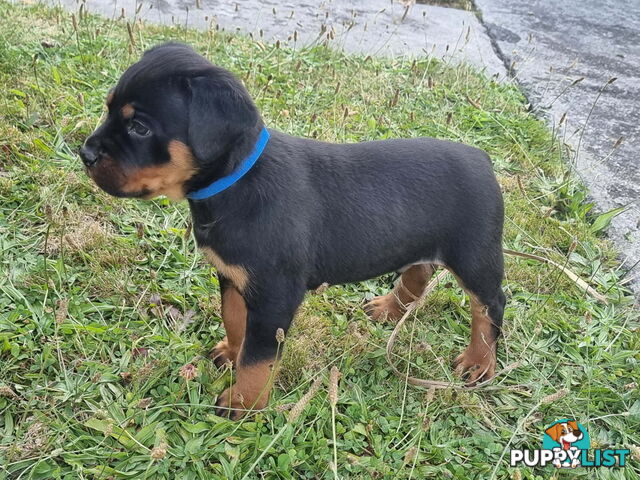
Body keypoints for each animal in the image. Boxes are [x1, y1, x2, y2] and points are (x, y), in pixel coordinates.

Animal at [80, 43, 504, 418]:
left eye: (139, 127)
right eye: (108, 108)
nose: (85, 153)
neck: (238, 181)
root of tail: (483, 159)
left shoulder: (274, 295)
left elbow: (259, 357)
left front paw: (244, 403)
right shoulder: (233, 277)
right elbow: (235, 321)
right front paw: (231, 353)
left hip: (475, 256)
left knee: (489, 305)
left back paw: (479, 362)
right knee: (421, 269)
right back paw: (389, 308)